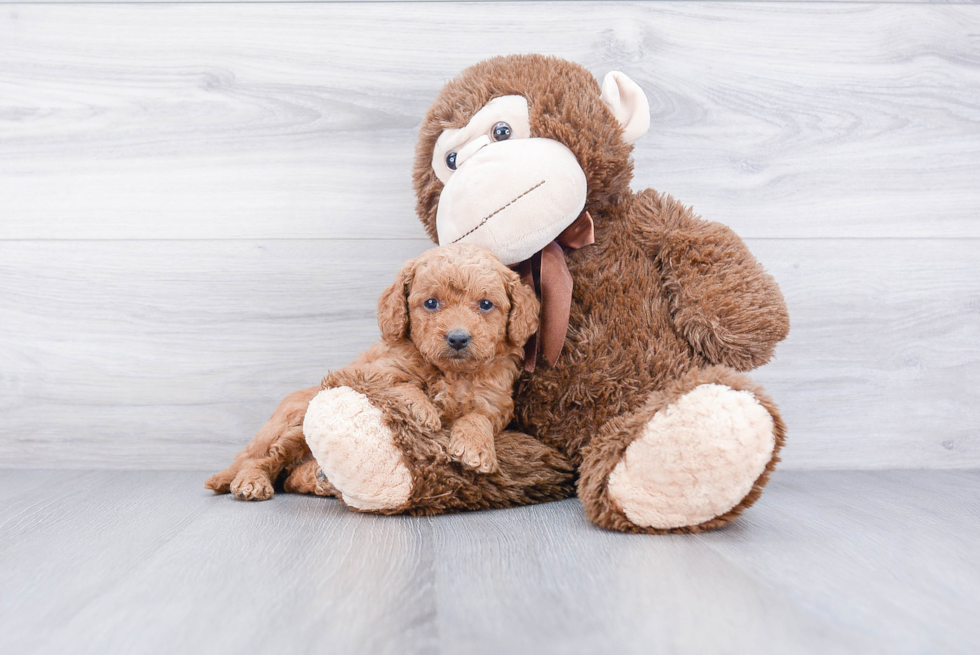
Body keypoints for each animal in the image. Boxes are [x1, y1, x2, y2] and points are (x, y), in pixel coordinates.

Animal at [205, 243, 536, 500]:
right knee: (265, 459)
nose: (457, 338)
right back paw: (250, 480)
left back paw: (320, 479)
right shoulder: (370, 371)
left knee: (291, 477)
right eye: (431, 303)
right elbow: (401, 383)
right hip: (295, 420)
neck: (450, 373)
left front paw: (475, 449)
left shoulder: (496, 400)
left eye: (486, 304)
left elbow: (478, 417)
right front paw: (422, 411)